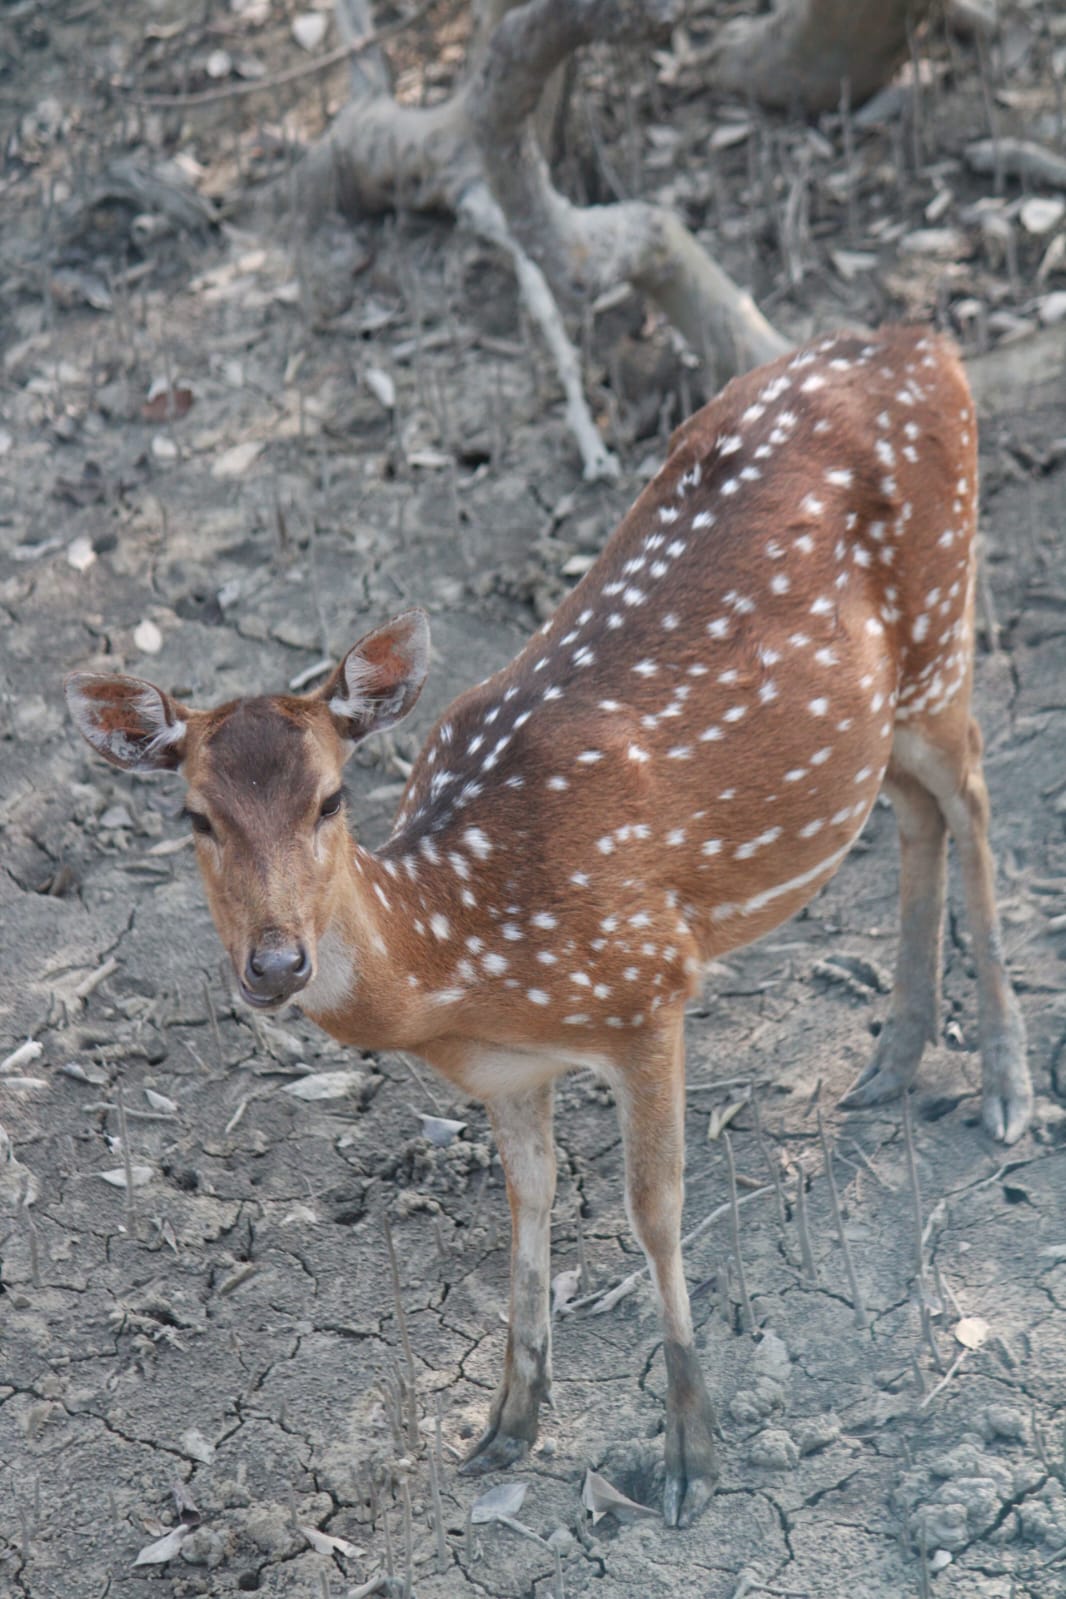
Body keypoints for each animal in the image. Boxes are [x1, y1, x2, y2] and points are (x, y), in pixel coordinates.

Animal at [66, 325, 1032, 1527]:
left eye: (332, 798)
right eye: (193, 814)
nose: (276, 961)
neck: (470, 953)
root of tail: (923, 342)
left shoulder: (651, 986)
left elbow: (652, 1208)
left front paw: (689, 1457)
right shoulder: (510, 1073)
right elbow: (525, 1213)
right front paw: (505, 1428)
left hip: (944, 627)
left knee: (977, 792)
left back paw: (1004, 1085)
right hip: (880, 714)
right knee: (914, 808)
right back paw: (893, 1059)